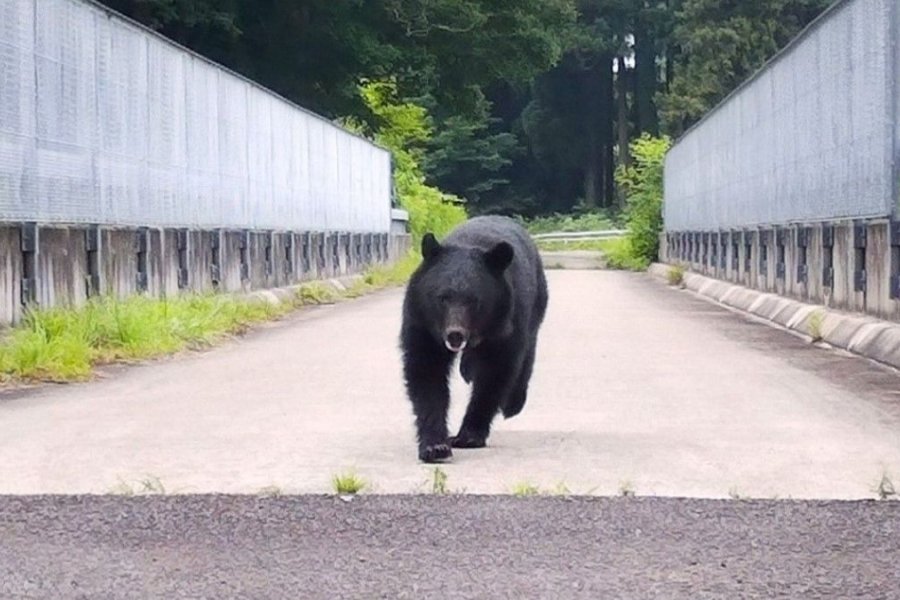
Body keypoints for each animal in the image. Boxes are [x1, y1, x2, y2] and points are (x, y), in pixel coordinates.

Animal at [400, 215, 549, 463]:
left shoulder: (506, 322)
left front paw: (468, 435)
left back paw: (512, 404)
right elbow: (426, 373)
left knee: (528, 350)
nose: (455, 334)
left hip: (536, 303)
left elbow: (494, 374)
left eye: (473, 300)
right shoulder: (421, 321)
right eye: (442, 297)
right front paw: (435, 446)